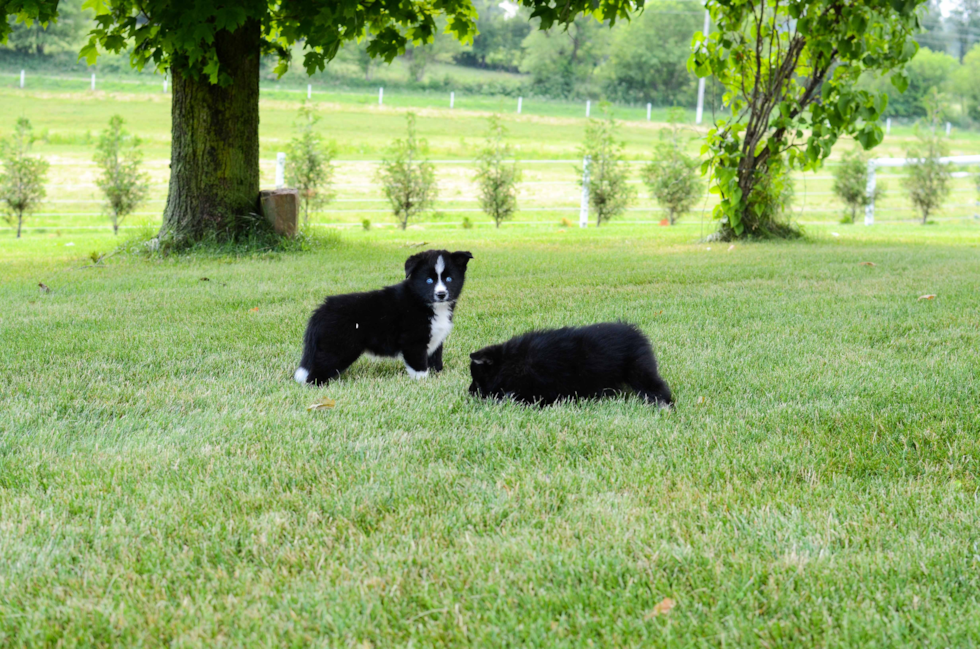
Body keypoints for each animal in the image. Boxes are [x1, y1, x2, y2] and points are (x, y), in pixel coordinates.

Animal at [292, 249, 472, 384]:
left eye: (449, 279)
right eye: (428, 280)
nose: (441, 294)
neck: (423, 302)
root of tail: (320, 311)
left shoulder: (436, 338)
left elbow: (436, 361)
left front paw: (438, 377)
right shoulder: (413, 341)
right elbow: (419, 367)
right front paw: (423, 383)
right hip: (337, 349)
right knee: (317, 372)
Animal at [468, 322, 672, 408]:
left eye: (476, 381)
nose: (469, 393)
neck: (512, 362)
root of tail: (634, 331)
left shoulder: (539, 391)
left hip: (639, 370)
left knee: (657, 387)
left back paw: (664, 405)